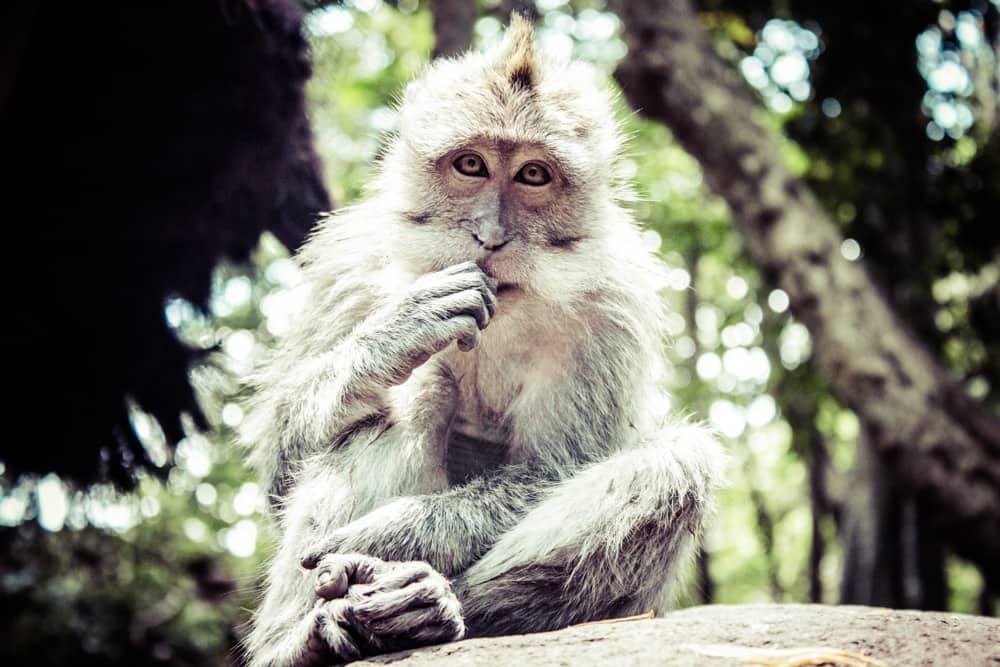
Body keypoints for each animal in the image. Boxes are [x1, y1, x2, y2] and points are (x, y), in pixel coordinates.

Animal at [242, 15, 728, 667]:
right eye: (470, 165)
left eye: (533, 175)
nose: (490, 236)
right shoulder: (348, 264)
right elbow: (279, 469)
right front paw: (396, 333)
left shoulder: (613, 303)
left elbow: (556, 466)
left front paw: (397, 533)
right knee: (405, 402)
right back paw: (305, 640)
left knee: (677, 466)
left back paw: (426, 601)